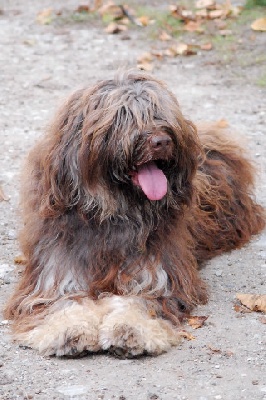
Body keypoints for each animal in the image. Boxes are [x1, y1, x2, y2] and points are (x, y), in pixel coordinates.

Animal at [4, 70, 264, 358]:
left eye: (160, 113)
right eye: (123, 116)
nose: (162, 141)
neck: (114, 213)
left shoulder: (157, 277)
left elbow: (139, 302)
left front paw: (130, 330)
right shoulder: (55, 274)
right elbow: (62, 303)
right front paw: (69, 330)